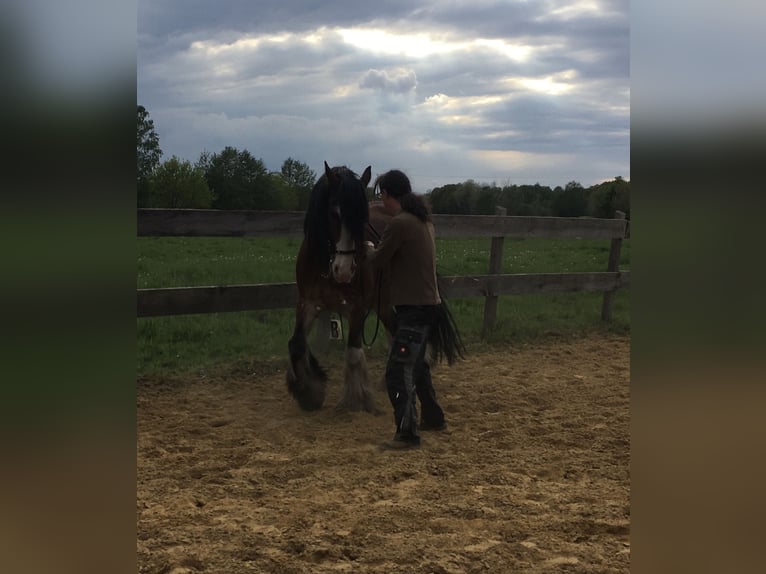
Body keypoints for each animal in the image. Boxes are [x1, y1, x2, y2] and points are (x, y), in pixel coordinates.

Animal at [286, 162, 396, 414]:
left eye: (363, 218)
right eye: (334, 214)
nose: (344, 270)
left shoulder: (357, 309)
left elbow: (353, 354)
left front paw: (356, 399)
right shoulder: (308, 303)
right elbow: (296, 344)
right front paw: (309, 393)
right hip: (382, 304)